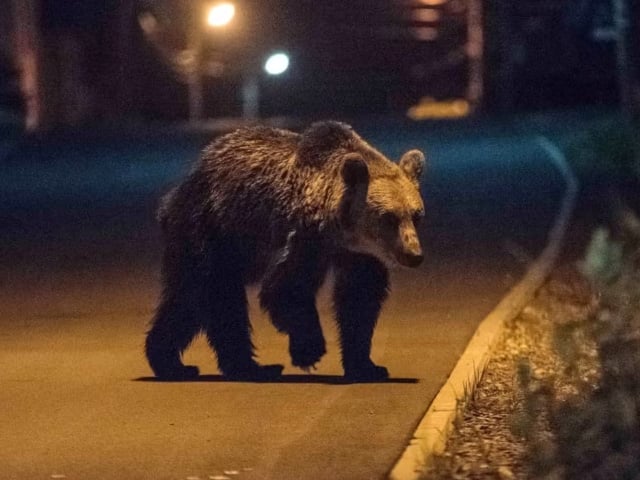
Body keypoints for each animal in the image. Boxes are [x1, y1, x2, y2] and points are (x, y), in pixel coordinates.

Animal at [145, 121, 424, 382]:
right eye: (389, 218)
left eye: (416, 215)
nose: (414, 254)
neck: (341, 230)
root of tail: (176, 192)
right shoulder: (306, 236)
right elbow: (286, 287)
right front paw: (309, 351)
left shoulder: (358, 254)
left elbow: (360, 297)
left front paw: (367, 366)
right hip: (211, 230)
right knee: (214, 294)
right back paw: (237, 366)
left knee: (192, 300)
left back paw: (178, 363)